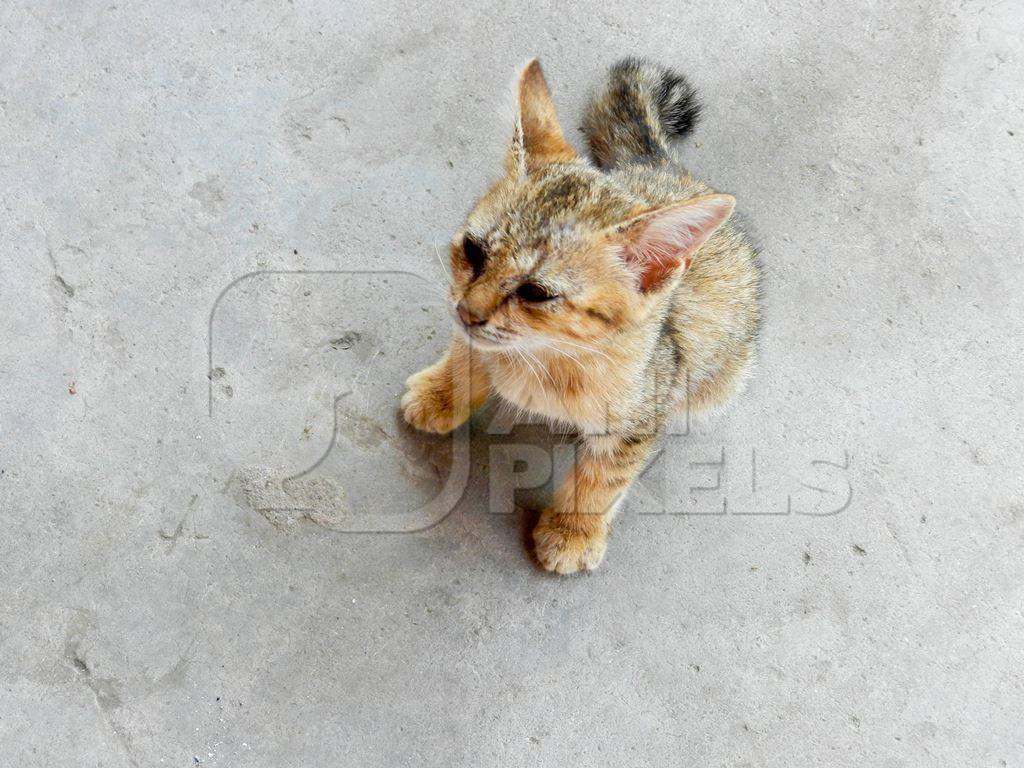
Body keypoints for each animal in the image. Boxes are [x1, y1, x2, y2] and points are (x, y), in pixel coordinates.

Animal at [399, 60, 761, 573]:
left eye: (536, 292)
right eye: (473, 249)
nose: (467, 311)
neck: (544, 357)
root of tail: (658, 167)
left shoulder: (637, 417)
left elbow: (603, 478)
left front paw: (572, 532)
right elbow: (466, 357)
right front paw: (441, 394)